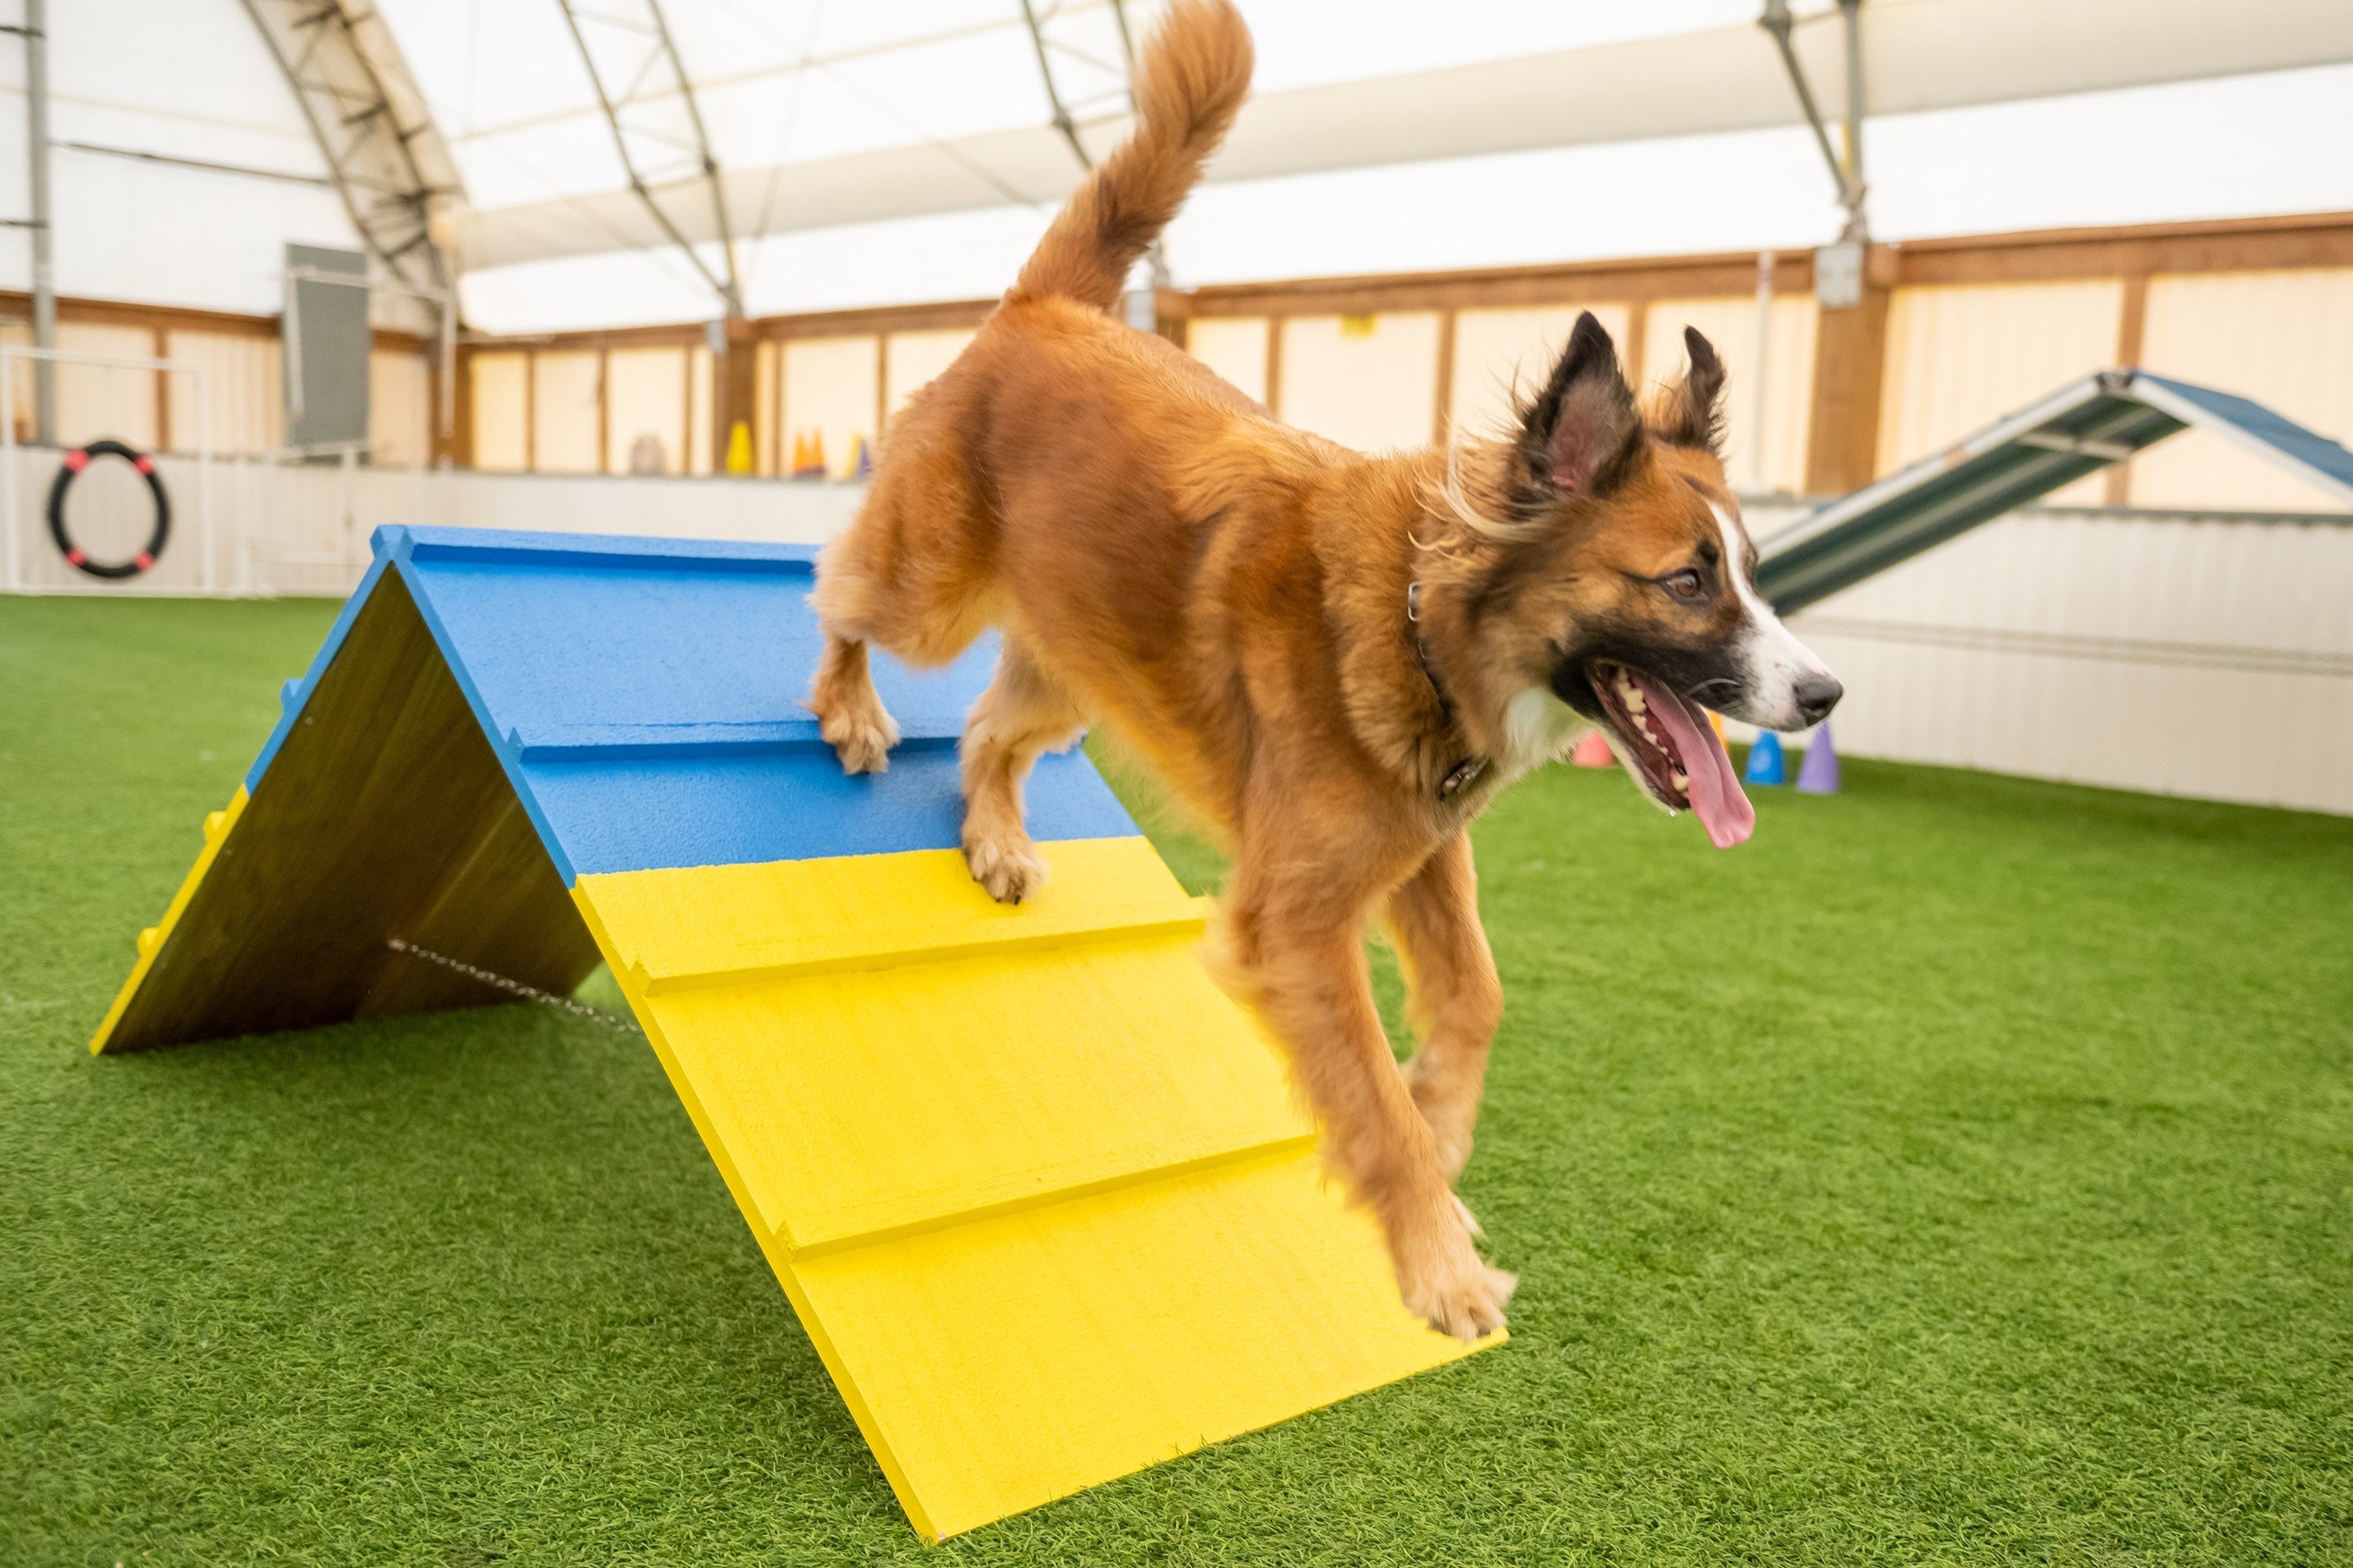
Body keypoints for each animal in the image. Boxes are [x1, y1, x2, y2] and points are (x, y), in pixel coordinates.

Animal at [806, 0, 1842, 1340]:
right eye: (1686, 582)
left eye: (1752, 573)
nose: (1822, 699)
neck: (1415, 625)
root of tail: (1050, 309)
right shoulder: (1296, 926)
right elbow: (1371, 1103)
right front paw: (1439, 1261)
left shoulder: (1422, 849)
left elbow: (1476, 996)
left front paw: (1443, 1135)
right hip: (928, 589)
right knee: (833, 592)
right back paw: (850, 710)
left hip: (1077, 665)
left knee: (986, 733)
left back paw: (996, 840)